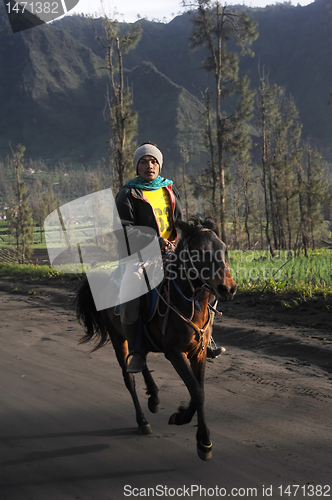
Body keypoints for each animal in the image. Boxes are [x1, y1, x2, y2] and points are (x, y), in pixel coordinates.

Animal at [75, 217, 236, 458]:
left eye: (224, 248)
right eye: (197, 251)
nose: (228, 288)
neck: (188, 303)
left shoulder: (198, 352)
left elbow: (198, 390)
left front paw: (181, 417)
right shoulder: (175, 353)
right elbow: (197, 391)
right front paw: (203, 441)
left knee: (140, 357)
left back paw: (153, 396)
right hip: (117, 337)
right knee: (129, 376)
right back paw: (142, 420)